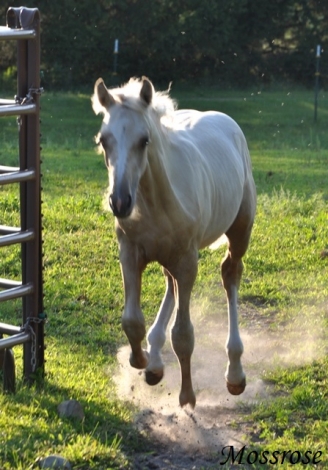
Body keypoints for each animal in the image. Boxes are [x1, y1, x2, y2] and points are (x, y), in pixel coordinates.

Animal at [92, 78, 256, 408]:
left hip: (240, 230)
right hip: (169, 255)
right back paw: (155, 360)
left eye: (144, 140)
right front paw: (142, 361)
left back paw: (234, 374)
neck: (155, 201)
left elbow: (183, 335)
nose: (120, 201)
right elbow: (131, 320)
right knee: (170, 283)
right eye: (104, 140)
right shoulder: (130, 254)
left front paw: (188, 396)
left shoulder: (188, 261)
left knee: (230, 274)